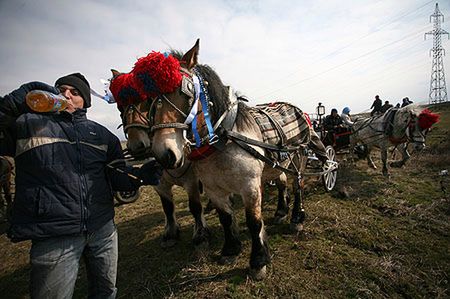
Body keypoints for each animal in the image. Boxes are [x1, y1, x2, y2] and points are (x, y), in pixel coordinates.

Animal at [109, 39, 312, 278]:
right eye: (151, 99)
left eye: (185, 92)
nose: (164, 154)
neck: (221, 141)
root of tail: (295, 108)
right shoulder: (212, 188)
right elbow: (224, 217)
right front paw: (230, 250)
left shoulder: (248, 187)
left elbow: (253, 222)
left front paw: (258, 261)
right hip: (277, 165)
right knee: (281, 184)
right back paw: (281, 211)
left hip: (299, 160)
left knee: (297, 186)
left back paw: (296, 218)